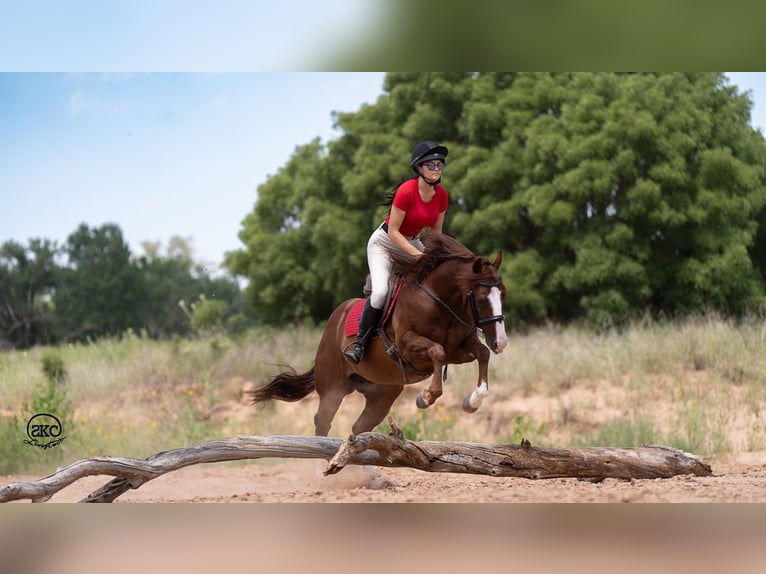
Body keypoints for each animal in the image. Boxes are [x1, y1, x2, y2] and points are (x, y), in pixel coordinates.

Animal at [252, 232, 512, 438]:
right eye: (481, 299)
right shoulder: (409, 347)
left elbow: (482, 353)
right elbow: (437, 352)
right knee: (322, 422)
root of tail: (334, 321)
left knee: (359, 427)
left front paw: (472, 401)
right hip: (333, 386)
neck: (438, 302)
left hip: (382, 393)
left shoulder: (458, 350)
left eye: (503, 294)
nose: (501, 342)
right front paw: (426, 397)